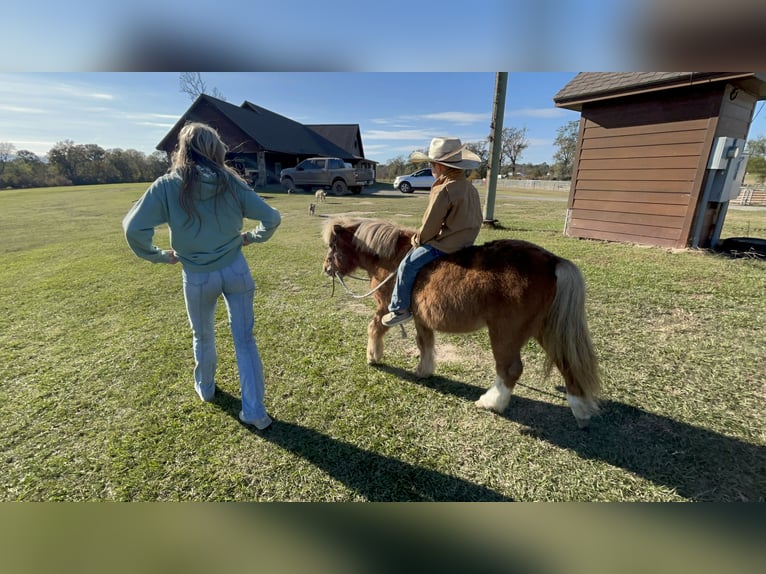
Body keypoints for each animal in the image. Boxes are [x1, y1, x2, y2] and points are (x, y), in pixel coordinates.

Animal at [320, 218, 604, 430]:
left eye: (332, 246)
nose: (326, 268)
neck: (393, 259)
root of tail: (552, 261)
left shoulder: (385, 309)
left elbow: (375, 328)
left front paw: (373, 356)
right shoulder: (422, 319)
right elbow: (424, 343)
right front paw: (424, 370)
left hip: (505, 333)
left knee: (510, 369)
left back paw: (492, 402)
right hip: (545, 329)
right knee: (566, 362)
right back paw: (580, 409)